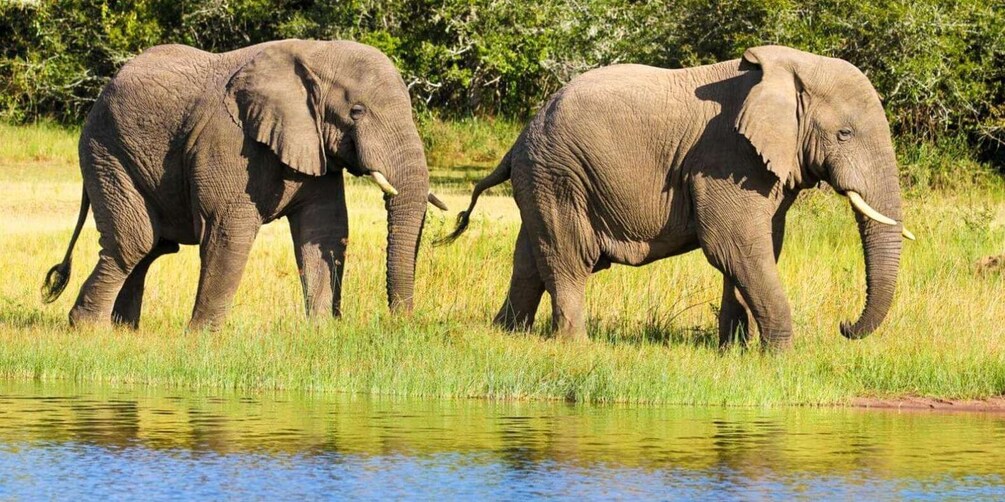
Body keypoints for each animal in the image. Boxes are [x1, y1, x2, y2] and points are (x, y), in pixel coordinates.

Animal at [41, 39, 446, 330]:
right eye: (357, 112)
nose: (400, 325)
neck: (315, 54)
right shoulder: (228, 140)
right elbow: (228, 229)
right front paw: (202, 339)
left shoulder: (312, 142)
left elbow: (325, 231)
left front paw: (322, 332)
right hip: (106, 150)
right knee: (135, 241)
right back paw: (87, 329)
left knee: (152, 247)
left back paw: (124, 331)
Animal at [446, 45, 914, 350]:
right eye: (844, 134)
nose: (844, 326)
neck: (790, 67)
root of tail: (518, 140)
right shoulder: (725, 155)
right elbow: (732, 244)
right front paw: (779, 358)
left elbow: (757, 248)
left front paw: (734, 353)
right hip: (559, 175)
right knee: (568, 259)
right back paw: (575, 347)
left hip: (542, 179)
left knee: (529, 260)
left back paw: (507, 335)